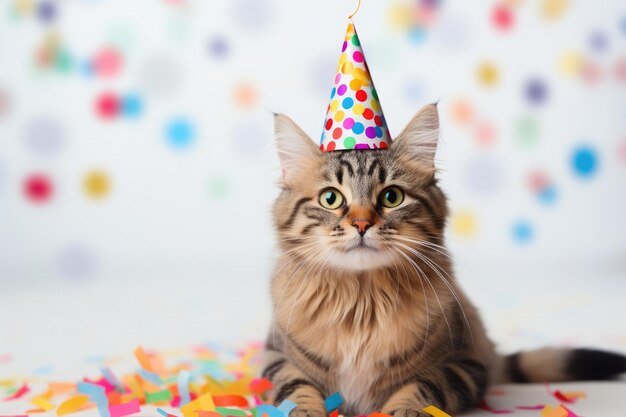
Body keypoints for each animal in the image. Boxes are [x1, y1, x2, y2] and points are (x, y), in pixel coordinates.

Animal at [260, 104, 624, 416]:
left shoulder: (464, 365)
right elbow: (295, 387)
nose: (362, 225)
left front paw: (399, 411)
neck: (362, 302)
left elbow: (424, 386)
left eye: (391, 197)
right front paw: (304, 411)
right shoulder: (275, 355)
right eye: (330, 199)